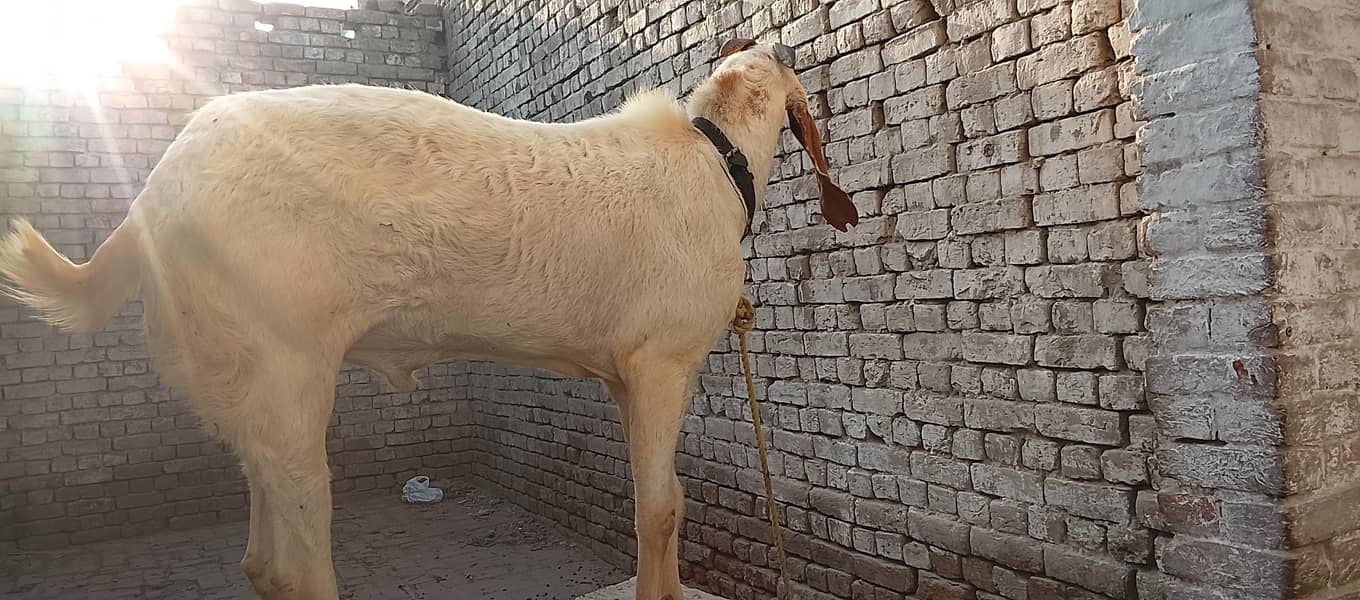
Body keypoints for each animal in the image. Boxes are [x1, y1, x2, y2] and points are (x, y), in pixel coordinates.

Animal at [0, 40, 857, 600]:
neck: (719, 159)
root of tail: (150, 198)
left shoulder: (620, 373)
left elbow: (658, 499)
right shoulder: (660, 361)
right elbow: (661, 509)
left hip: (250, 387)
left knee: (259, 558)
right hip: (283, 365)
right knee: (295, 564)